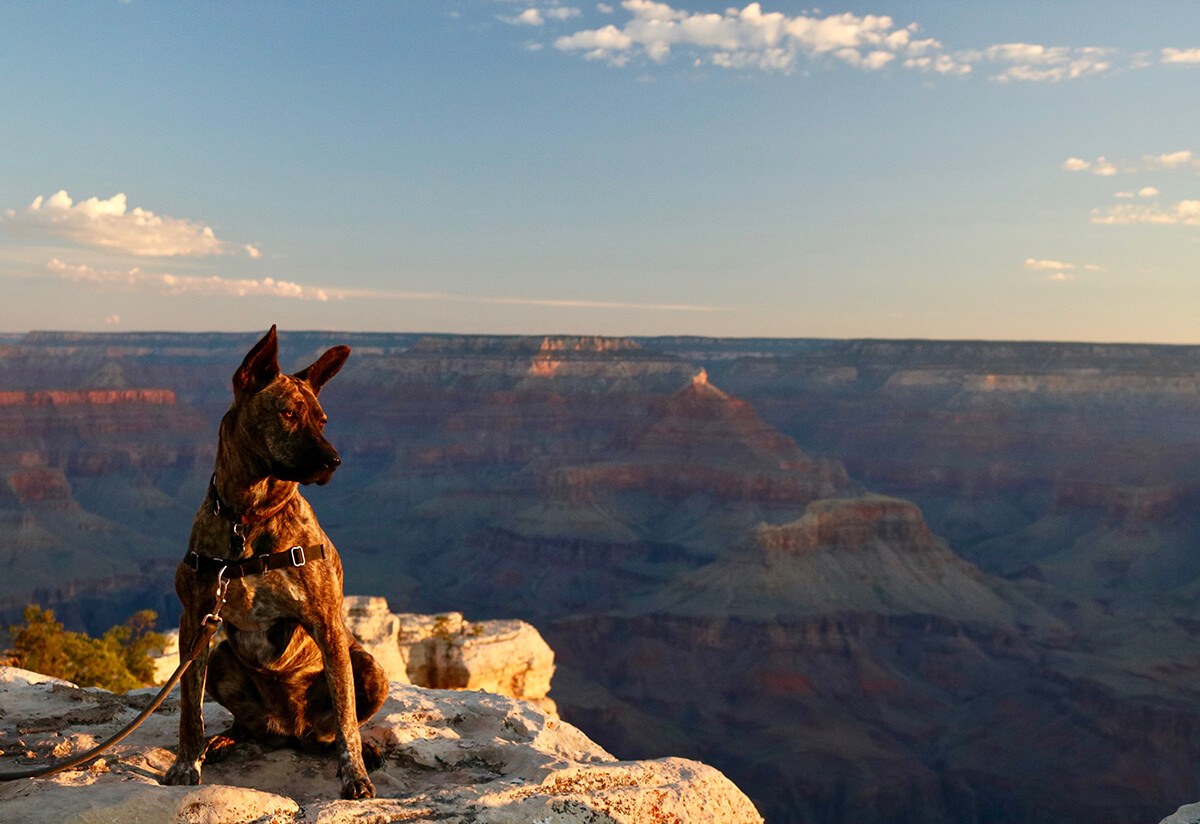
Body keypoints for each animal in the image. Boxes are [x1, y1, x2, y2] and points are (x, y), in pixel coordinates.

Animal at [164, 323, 386, 801]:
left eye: (322, 420)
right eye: (287, 413)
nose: (334, 461)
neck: (248, 518)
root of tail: (290, 730)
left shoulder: (326, 624)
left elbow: (346, 721)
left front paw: (356, 775)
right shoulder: (194, 620)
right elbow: (190, 709)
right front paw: (186, 763)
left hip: (369, 668)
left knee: (336, 730)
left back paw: (368, 750)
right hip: (223, 657)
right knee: (247, 725)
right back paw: (225, 740)